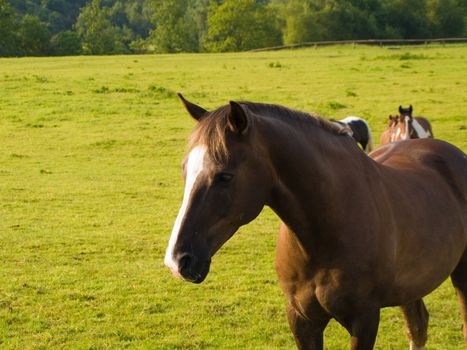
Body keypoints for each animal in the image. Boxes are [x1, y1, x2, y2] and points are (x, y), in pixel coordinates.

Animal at [165, 95, 467, 350]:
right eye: (184, 170)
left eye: (225, 176)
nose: (177, 261)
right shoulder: (302, 320)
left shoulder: (365, 320)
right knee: (417, 326)